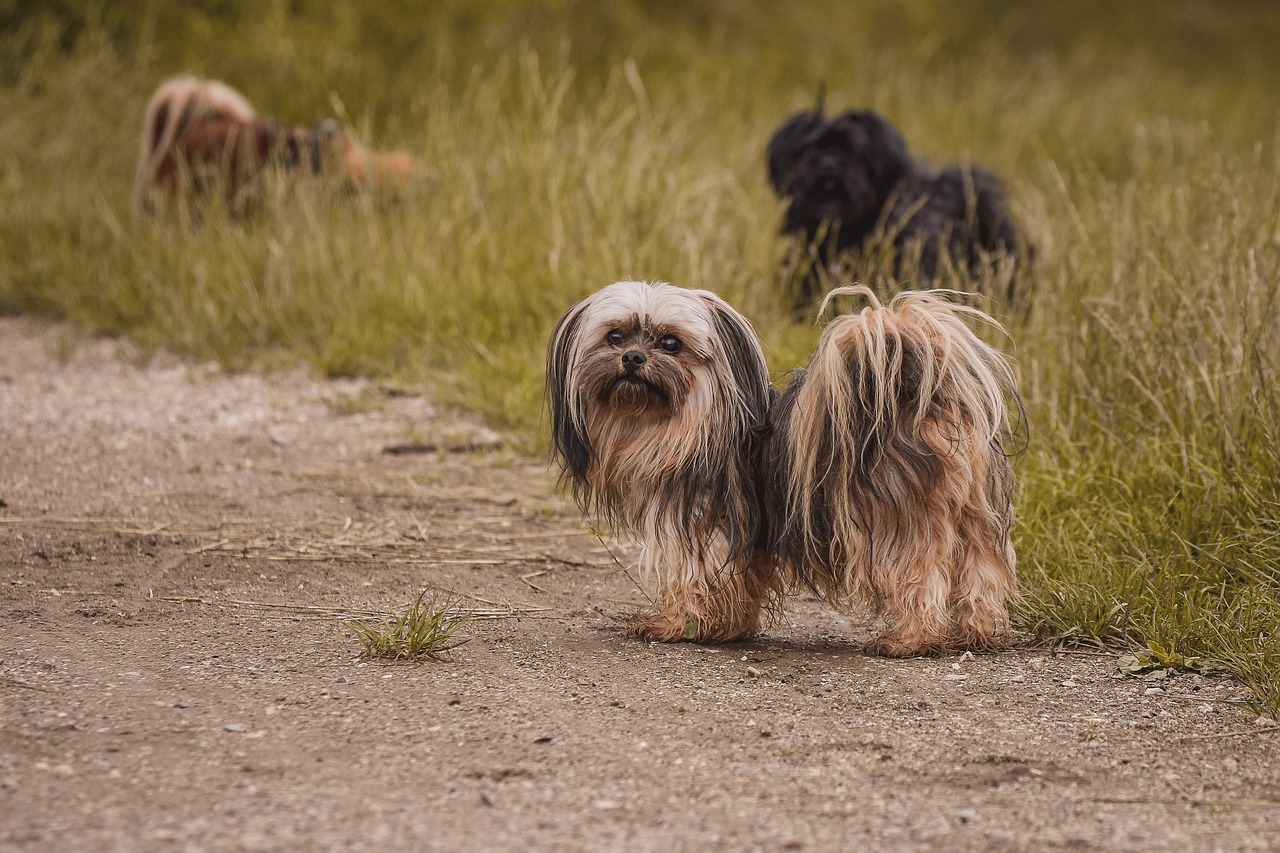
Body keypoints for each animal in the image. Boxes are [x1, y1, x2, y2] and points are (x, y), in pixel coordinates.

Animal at [547, 279, 1018, 650]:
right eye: (615, 337)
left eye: (670, 343)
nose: (632, 359)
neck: (689, 422)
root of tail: (916, 393)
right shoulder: (747, 537)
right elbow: (741, 583)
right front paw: (728, 628)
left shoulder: (695, 528)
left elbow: (690, 579)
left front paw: (672, 625)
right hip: (976, 516)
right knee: (982, 573)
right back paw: (980, 632)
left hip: (895, 518)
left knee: (919, 577)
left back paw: (909, 639)